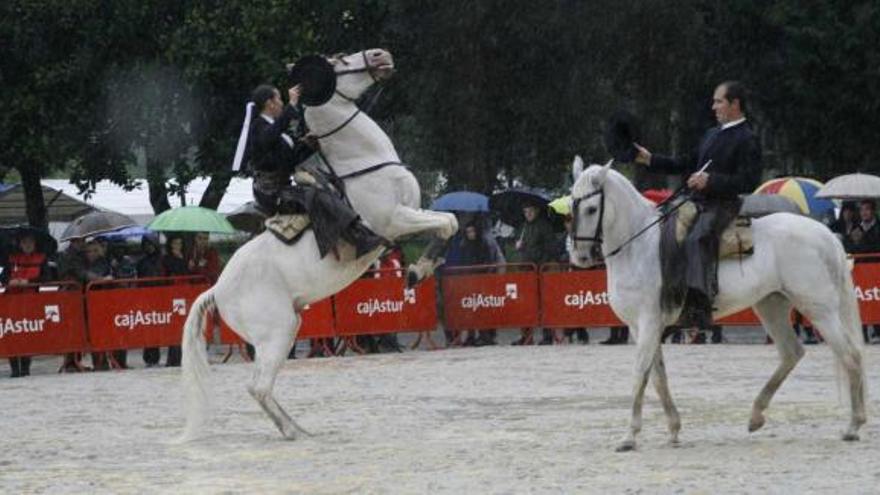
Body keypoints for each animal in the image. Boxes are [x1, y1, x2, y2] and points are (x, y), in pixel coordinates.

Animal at [176, 48, 458, 440]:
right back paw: (293, 431)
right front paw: (418, 271)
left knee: (262, 386)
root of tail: (217, 289)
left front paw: (422, 268)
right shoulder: (395, 219)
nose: (380, 55)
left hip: (285, 330)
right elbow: (448, 223)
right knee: (258, 386)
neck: (363, 165)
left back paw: (298, 428)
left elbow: (449, 222)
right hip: (277, 332)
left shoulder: (413, 212)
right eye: (337, 61)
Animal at [572, 159, 868, 454]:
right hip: (771, 305)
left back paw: (853, 426)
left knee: (851, 355)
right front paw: (674, 429)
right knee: (791, 353)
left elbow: (640, 375)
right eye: (572, 205)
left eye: (591, 208)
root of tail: (825, 233)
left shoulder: (648, 323)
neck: (639, 248)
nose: (580, 257)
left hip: (819, 309)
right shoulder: (641, 327)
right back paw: (756, 416)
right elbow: (658, 377)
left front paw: (629, 436)